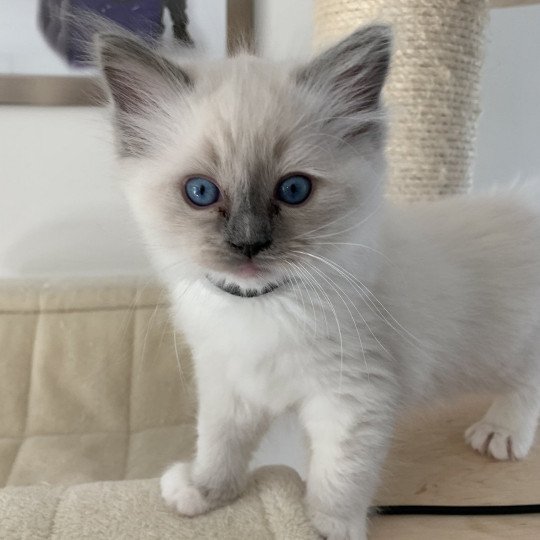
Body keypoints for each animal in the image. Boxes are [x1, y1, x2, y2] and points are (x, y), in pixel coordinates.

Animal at [97, 25, 540, 540]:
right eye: (201, 192)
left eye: (293, 190)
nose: (249, 244)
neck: (260, 306)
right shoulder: (229, 383)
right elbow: (220, 444)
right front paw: (205, 492)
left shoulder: (352, 400)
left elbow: (338, 477)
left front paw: (326, 528)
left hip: (512, 347)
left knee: (529, 381)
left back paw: (501, 432)